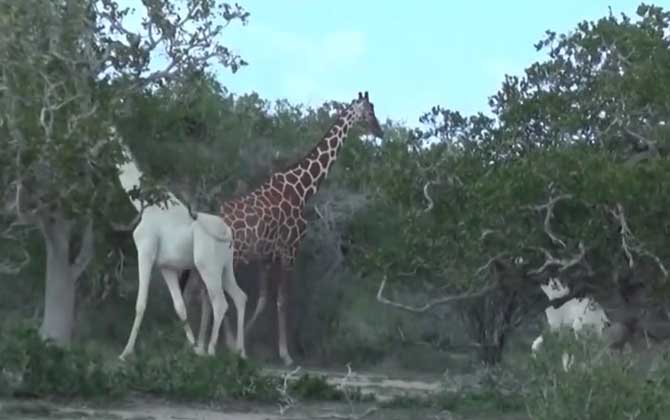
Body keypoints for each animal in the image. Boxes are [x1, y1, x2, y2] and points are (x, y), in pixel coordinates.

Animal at [116, 139, 249, 360]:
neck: (146, 204)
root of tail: (227, 232)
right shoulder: (166, 267)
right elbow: (180, 307)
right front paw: (194, 347)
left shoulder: (145, 252)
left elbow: (140, 303)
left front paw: (125, 352)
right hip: (225, 267)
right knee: (240, 297)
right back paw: (241, 352)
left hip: (207, 266)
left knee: (220, 303)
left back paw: (211, 350)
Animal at [181, 91, 386, 364]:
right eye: (370, 111)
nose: (380, 131)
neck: (302, 189)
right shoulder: (290, 249)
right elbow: (281, 301)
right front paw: (284, 354)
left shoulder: (267, 255)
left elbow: (263, 299)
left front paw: (243, 342)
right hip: (227, 257)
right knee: (205, 292)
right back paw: (203, 344)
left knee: (201, 291)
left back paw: (201, 343)